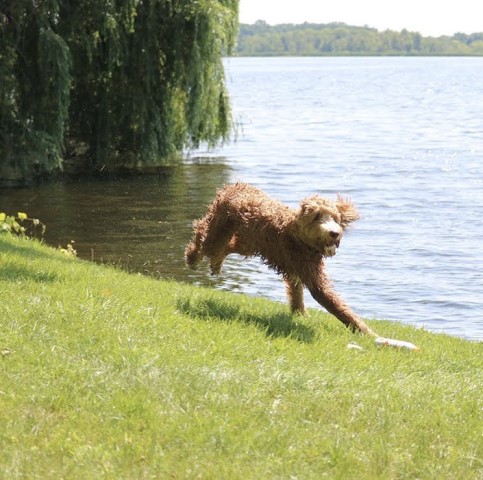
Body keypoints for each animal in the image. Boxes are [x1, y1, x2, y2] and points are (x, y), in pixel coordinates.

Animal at [185, 182, 378, 336]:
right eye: (317, 217)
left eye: (335, 218)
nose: (334, 233)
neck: (298, 237)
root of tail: (235, 186)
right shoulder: (313, 278)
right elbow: (336, 305)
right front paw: (367, 332)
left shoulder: (296, 269)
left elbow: (296, 292)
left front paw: (300, 314)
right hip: (219, 229)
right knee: (202, 234)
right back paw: (192, 257)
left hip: (247, 242)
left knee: (224, 246)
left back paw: (216, 263)